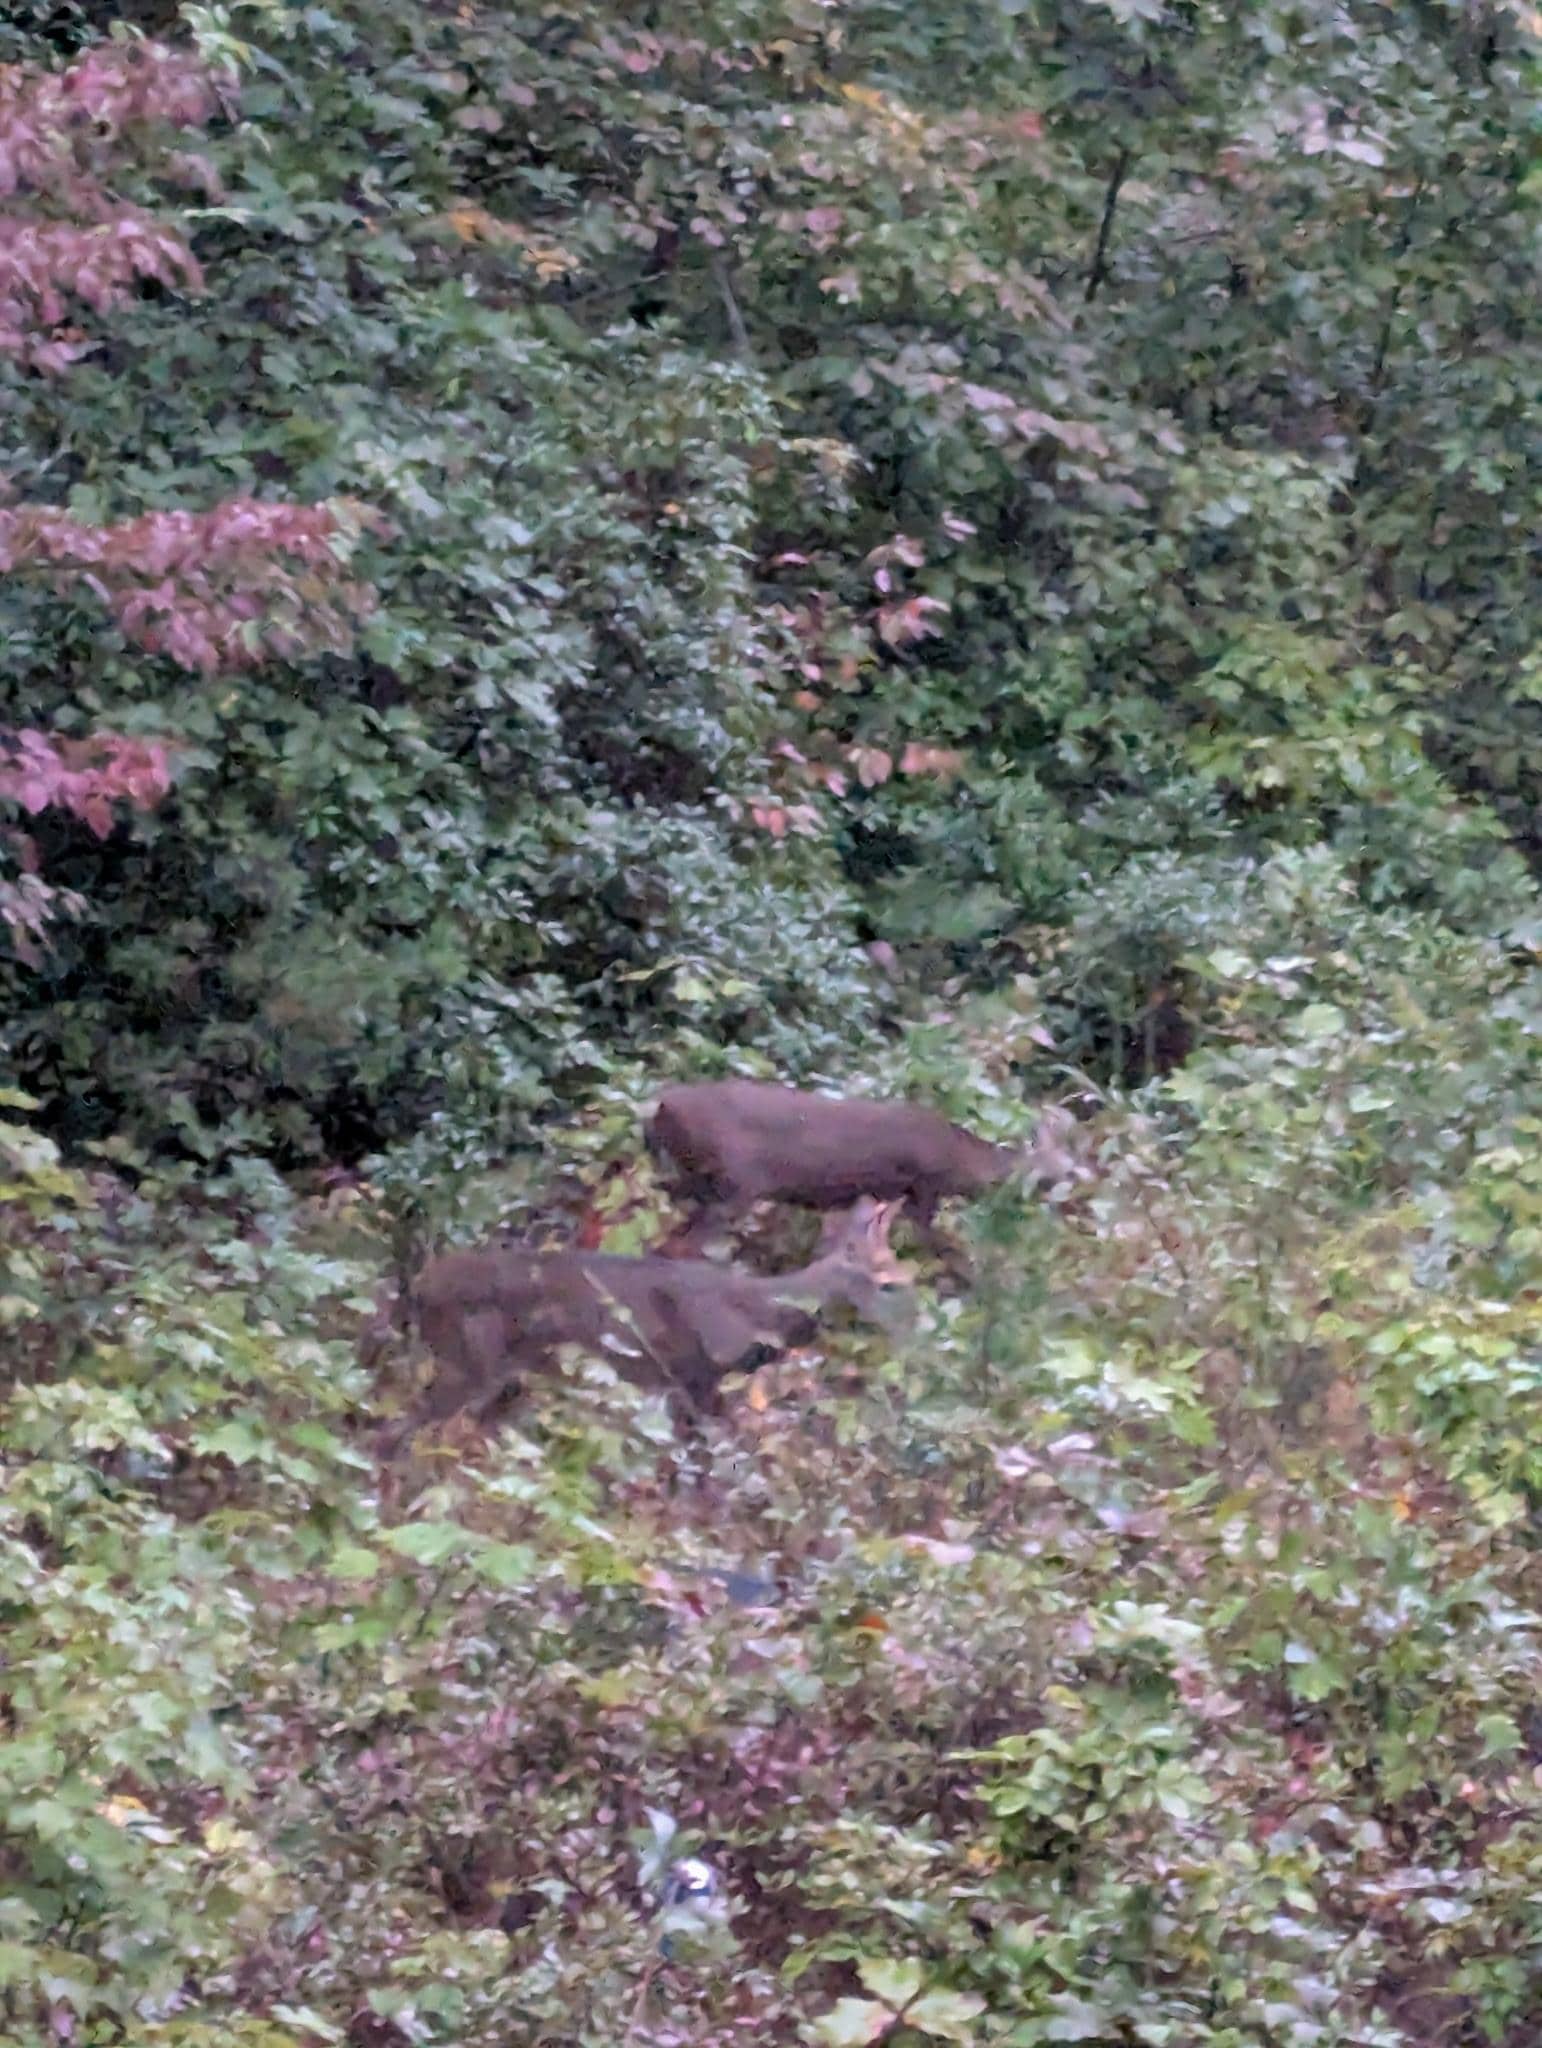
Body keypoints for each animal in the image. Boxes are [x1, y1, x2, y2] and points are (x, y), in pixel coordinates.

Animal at [374, 1194, 911, 1455]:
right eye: (888, 1283)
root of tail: (418, 1288)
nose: (911, 1331)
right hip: (467, 1357)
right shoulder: (694, 1373)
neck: (755, 1308)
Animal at [646, 1079, 1089, 1266]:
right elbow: (938, 1243)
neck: (959, 1160)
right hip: (737, 1178)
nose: (1080, 1189)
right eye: (1060, 1170)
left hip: (696, 1179)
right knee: (682, 1243)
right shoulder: (922, 1186)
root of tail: (660, 1107)